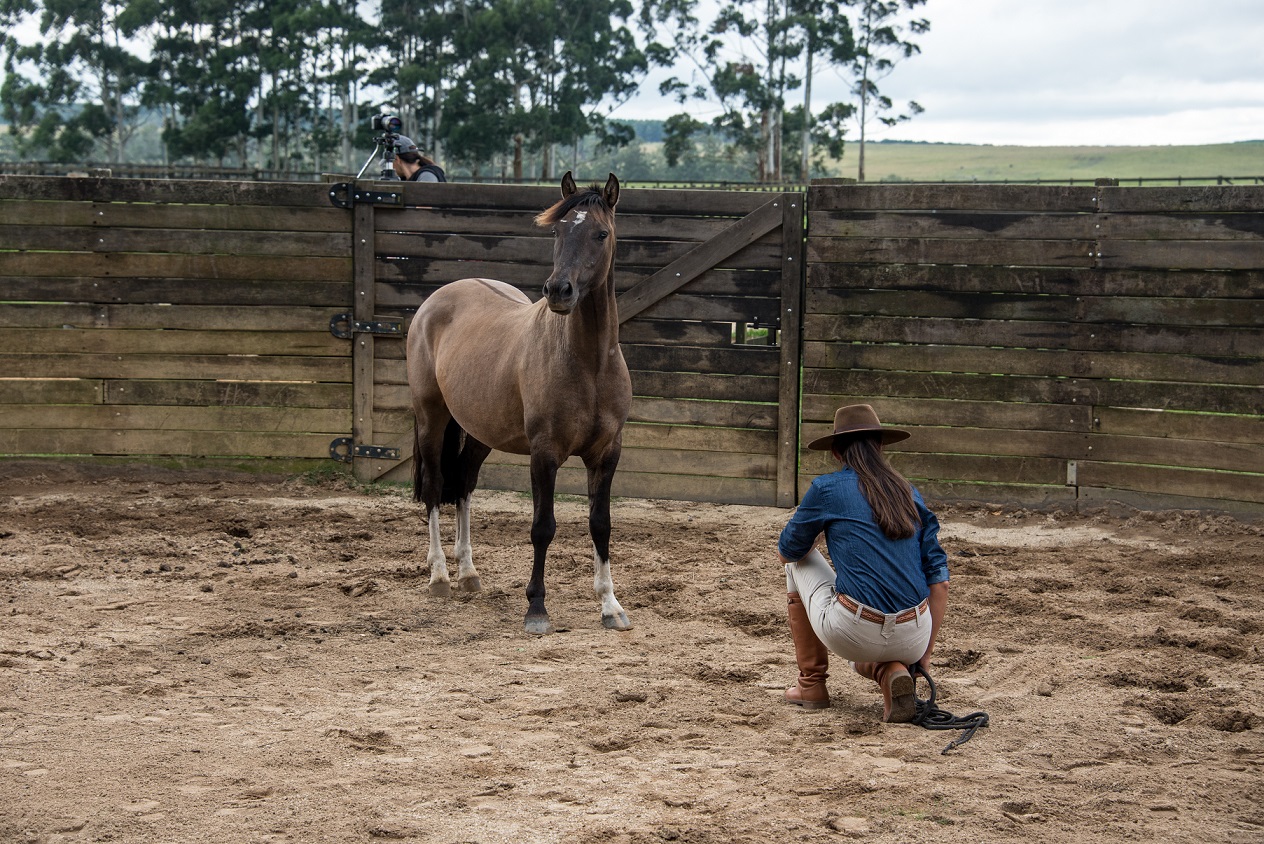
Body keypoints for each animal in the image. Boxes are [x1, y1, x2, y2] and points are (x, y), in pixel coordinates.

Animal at [404, 171, 632, 631]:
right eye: (558, 231)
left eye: (601, 234)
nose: (559, 290)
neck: (589, 363)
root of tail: (437, 300)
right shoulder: (544, 453)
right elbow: (543, 526)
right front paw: (537, 608)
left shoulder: (606, 453)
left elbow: (601, 524)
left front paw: (610, 605)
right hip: (431, 418)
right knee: (435, 487)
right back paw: (440, 576)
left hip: (478, 431)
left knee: (464, 484)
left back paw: (468, 573)